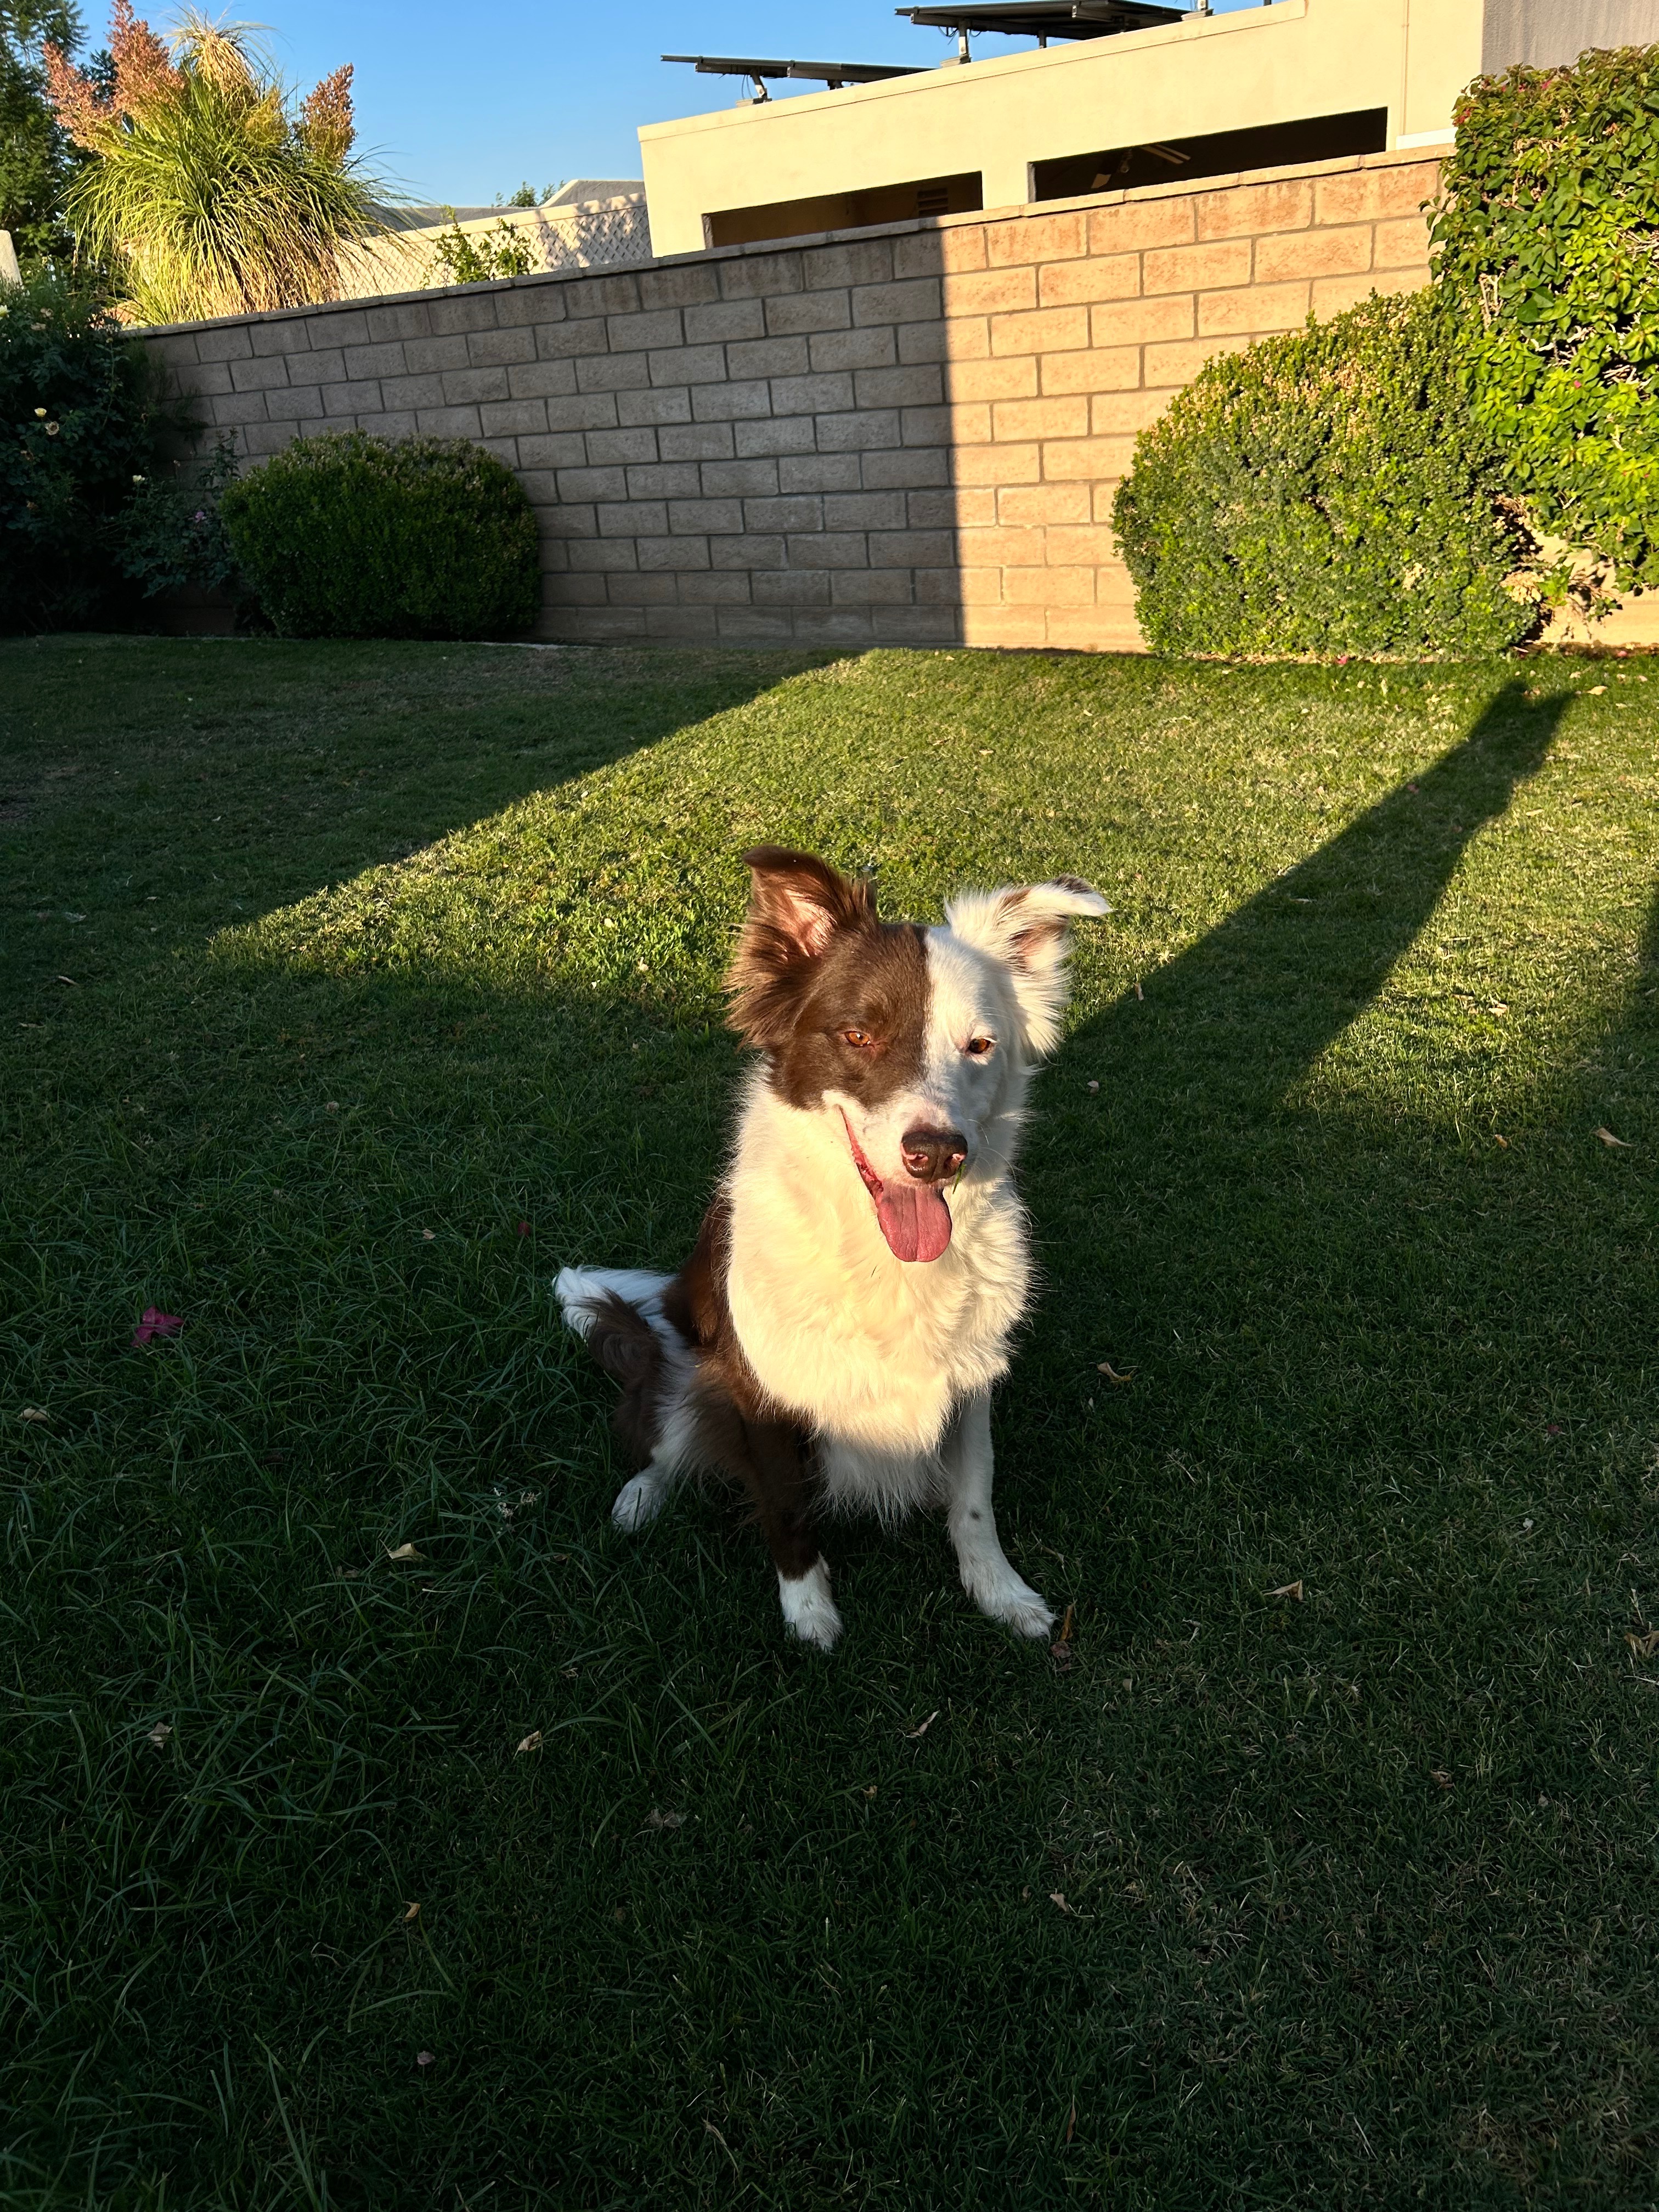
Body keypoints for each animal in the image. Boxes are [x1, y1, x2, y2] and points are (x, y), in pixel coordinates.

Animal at [555, 846, 1107, 1651]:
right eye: (858, 1036)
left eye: (979, 1047)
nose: (937, 1154)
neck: (883, 1264)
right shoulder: (764, 1389)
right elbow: (785, 1508)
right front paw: (809, 1615)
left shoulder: (971, 1380)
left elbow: (975, 1497)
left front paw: (1002, 1594)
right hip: (689, 1369)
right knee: (659, 1428)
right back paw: (640, 1497)